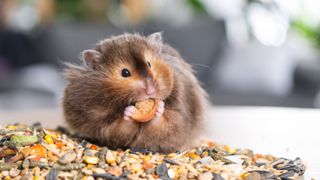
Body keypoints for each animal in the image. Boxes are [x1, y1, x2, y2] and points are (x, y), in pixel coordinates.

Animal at [62, 32, 208, 153]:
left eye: (149, 64)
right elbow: (119, 126)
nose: (150, 90)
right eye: (125, 73)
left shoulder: (180, 117)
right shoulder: (99, 122)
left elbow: (165, 122)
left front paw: (159, 107)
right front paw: (129, 111)